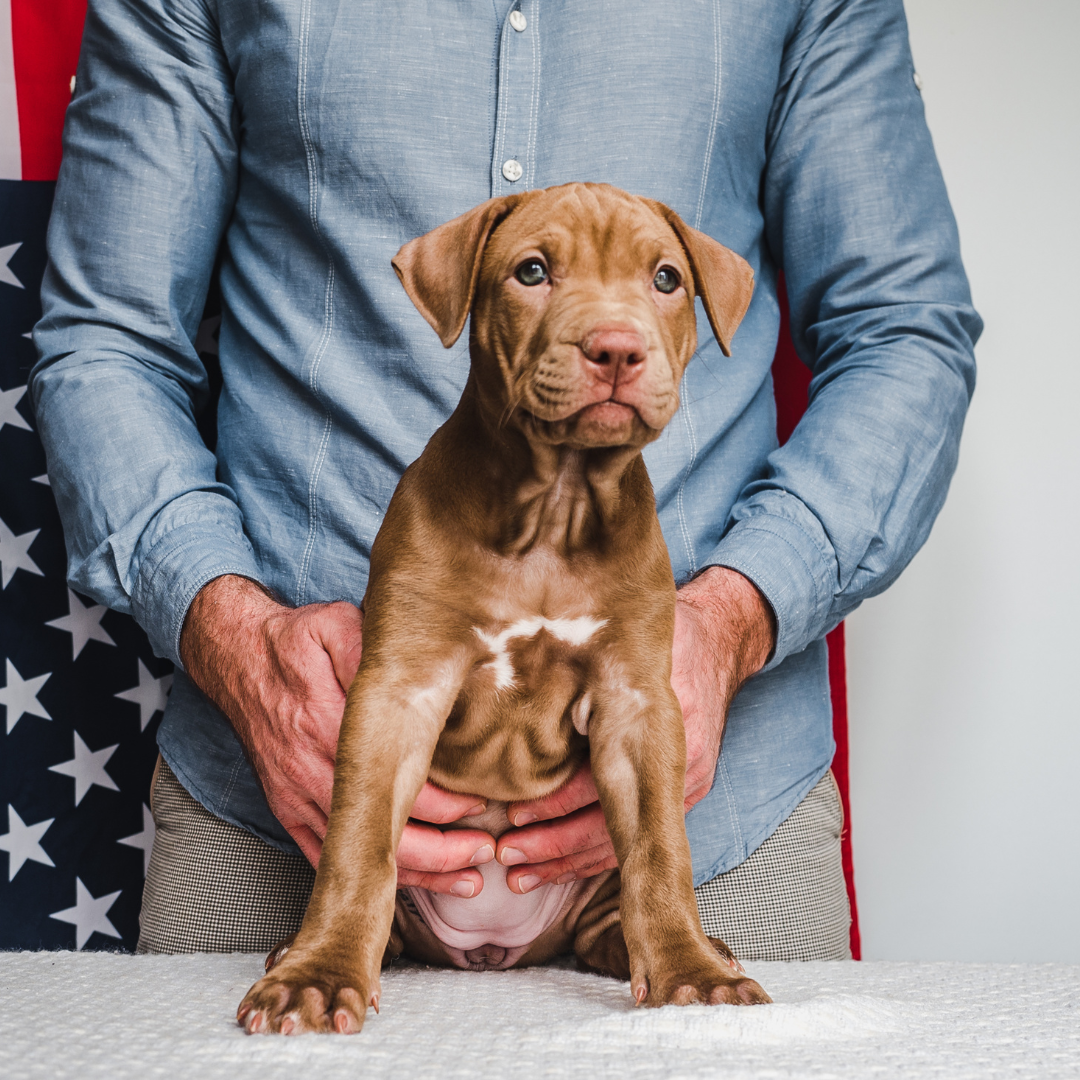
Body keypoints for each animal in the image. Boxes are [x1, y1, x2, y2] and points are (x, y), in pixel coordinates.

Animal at [241, 185, 773, 1036]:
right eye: (532, 272)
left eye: (665, 279)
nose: (616, 349)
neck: (555, 507)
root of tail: (495, 948)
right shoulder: (398, 691)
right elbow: (359, 846)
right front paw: (317, 978)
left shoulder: (638, 704)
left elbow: (660, 852)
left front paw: (691, 972)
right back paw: (299, 952)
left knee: (610, 907)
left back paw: (669, 951)